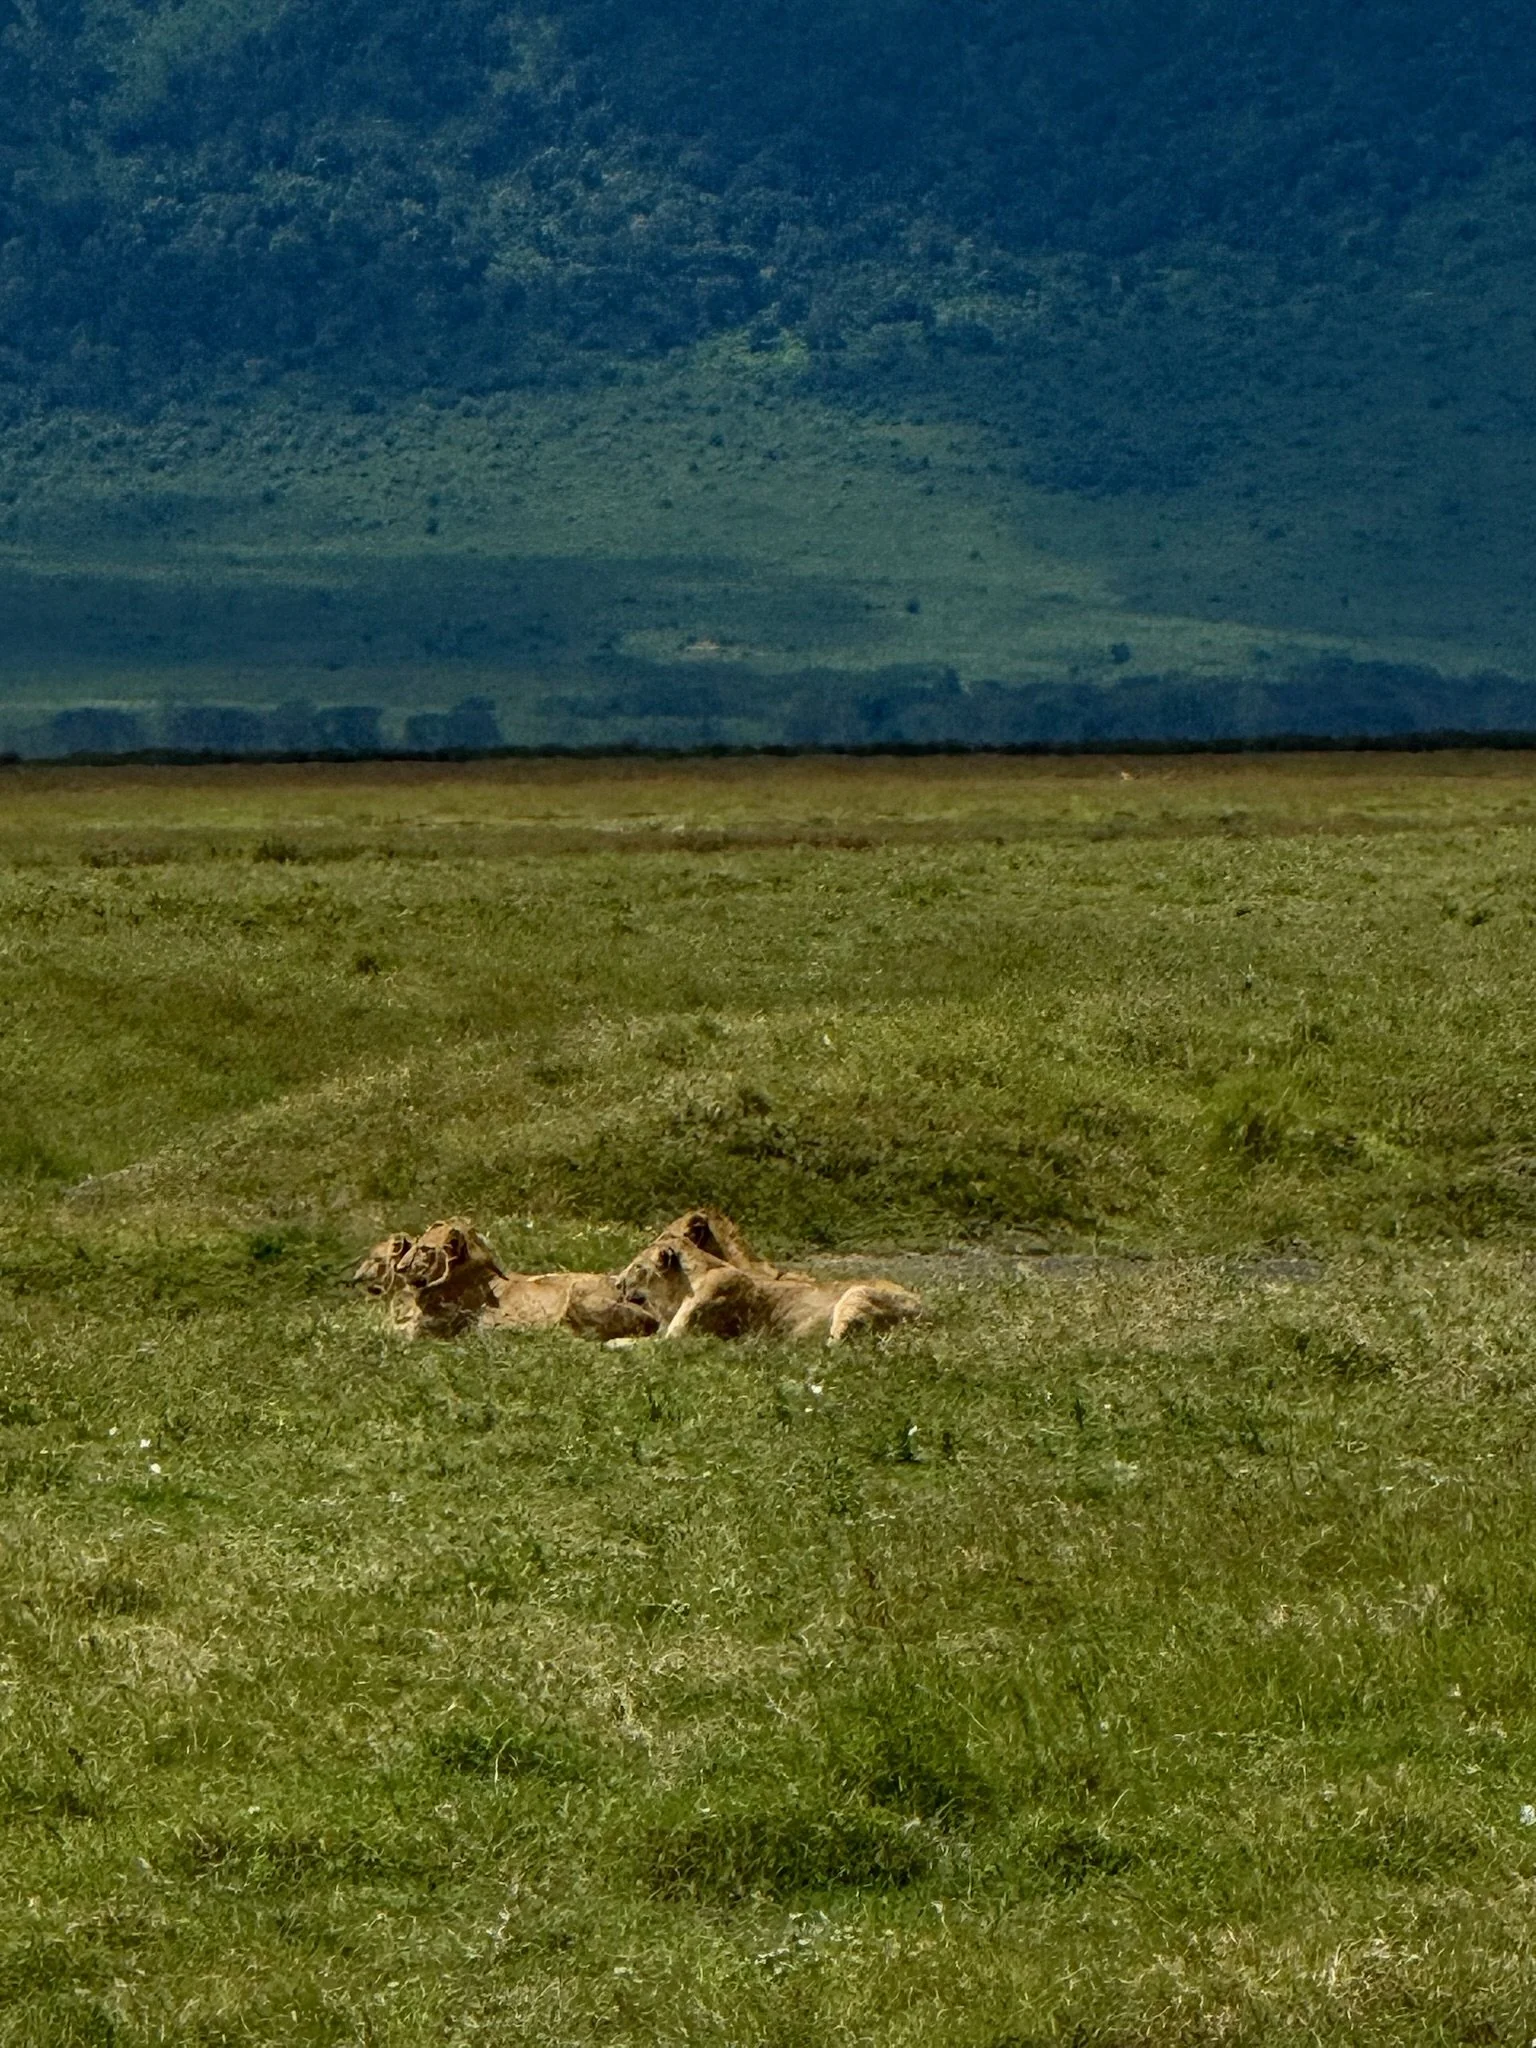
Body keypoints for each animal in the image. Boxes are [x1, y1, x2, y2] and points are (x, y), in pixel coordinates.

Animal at [615, 1232, 923, 1343]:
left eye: (637, 1267)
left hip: (856, 1293)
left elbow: (634, 1345)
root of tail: (927, 1308)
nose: (616, 1283)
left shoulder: (679, 1339)